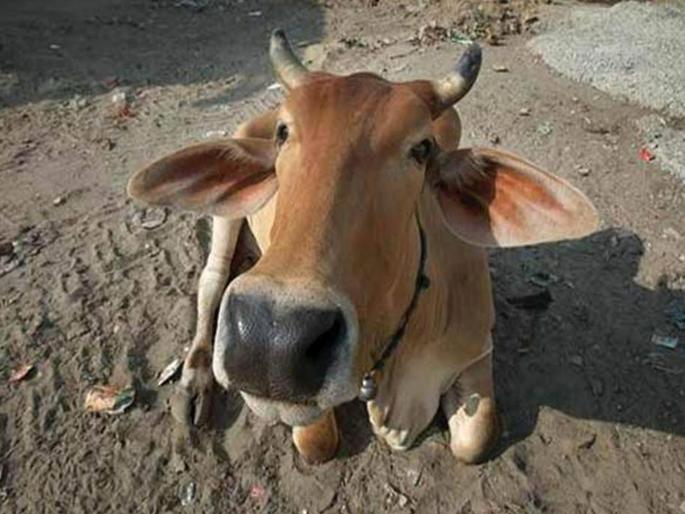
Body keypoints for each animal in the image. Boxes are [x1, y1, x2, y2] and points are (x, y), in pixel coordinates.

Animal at [127, 30, 598, 465]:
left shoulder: (478, 347)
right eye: (284, 132)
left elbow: (475, 441)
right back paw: (196, 380)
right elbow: (317, 443)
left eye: (421, 148)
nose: (271, 342)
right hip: (228, 215)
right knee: (212, 281)